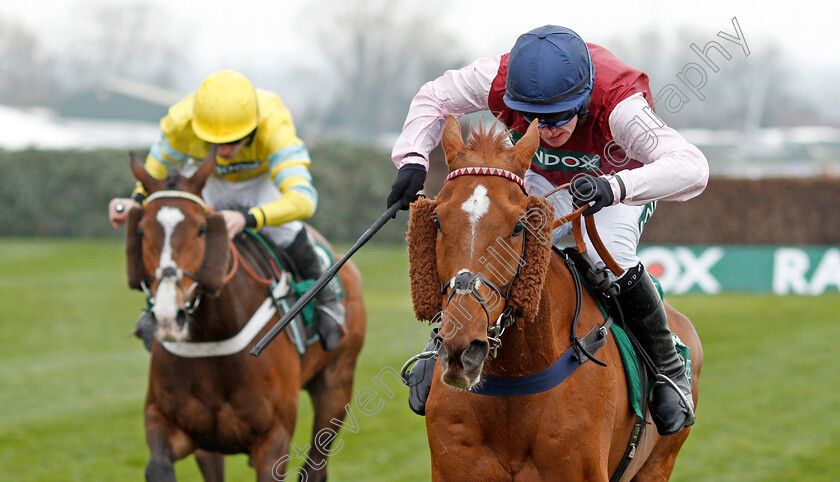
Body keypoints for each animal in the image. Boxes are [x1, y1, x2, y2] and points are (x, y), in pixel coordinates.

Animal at [124, 149, 364, 480]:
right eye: (141, 230)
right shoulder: (168, 421)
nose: (168, 316)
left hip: (336, 385)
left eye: (201, 229)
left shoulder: (272, 439)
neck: (214, 335)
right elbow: (158, 466)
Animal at [406, 117, 704, 482]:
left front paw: (598, 189)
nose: (462, 349)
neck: (514, 381)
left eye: (519, 226)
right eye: (437, 220)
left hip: (658, 464)